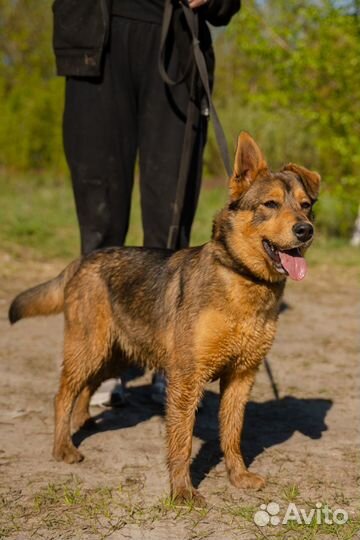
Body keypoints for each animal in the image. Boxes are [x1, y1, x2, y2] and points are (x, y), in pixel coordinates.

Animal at [8, 133, 320, 504]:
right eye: (270, 204)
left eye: (306, 205)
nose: (306, 230)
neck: (243, 281)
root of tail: (83, 261)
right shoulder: (187, 379)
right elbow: (181, 442)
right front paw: (182, 491)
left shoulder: (241, 376)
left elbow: (232, 434)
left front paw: (238, 476)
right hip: (89, 349)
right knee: (62, 396)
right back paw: (63, 447)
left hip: (114, 355)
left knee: (86, 387)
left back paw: (84, 421)